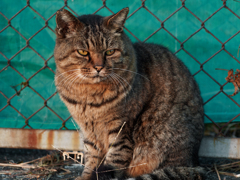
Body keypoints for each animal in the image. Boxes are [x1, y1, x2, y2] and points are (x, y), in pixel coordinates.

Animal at [54, 7, 204, 180]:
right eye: (83, 52)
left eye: (110, 52)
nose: (98, 67)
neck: (88, 95)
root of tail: (193, 162)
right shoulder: (88, 132)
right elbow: (91, 160)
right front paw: (85, 176)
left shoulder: (121, 130)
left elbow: (113, 161)